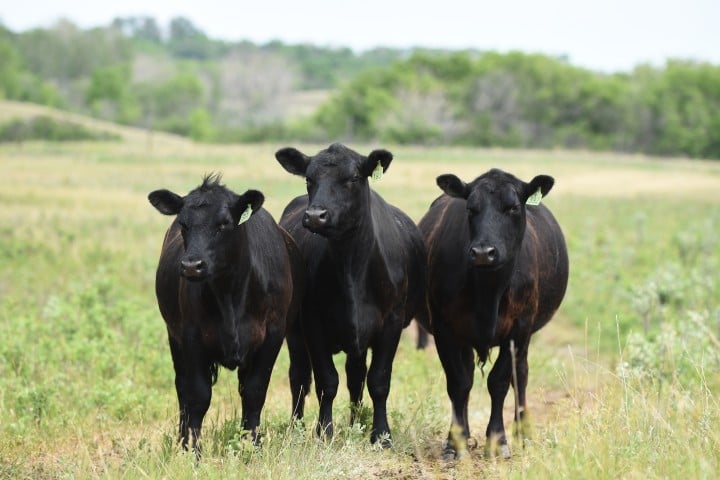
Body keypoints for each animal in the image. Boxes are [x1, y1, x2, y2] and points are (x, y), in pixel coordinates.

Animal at [148, 174, 304, 452]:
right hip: (173, 336)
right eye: (183, 224)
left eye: (224, 224)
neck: (230, 293)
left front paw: (252, 447)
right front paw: (193, 451)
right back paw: (181, 441)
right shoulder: (191, 335)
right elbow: (198, 395)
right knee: (181, 386)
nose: (192, 266)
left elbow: (254, 391)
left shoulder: (273, 335)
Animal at [275, 143, 426, 446]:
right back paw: (296, 427)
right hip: (295, 334)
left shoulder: (392, 322)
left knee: (356, 376)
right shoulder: (313, 324)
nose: (315, 216)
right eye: (309, 179)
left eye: (354, 178)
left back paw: (356, 423)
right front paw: (324, 432)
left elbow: (378, 381)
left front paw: (381, 434)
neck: (351, 268)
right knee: (299, 377)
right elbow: (326, 381)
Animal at [416, 168, 569, 459]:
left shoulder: (518, 330)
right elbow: (459, 383)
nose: (483, 253)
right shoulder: (445, 329)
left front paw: (498, 441)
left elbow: (499, 382)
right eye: (470, 208)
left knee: (521, 376)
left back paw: (524, 432)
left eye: (513, 207)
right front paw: (455, 442)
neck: (489, 291)